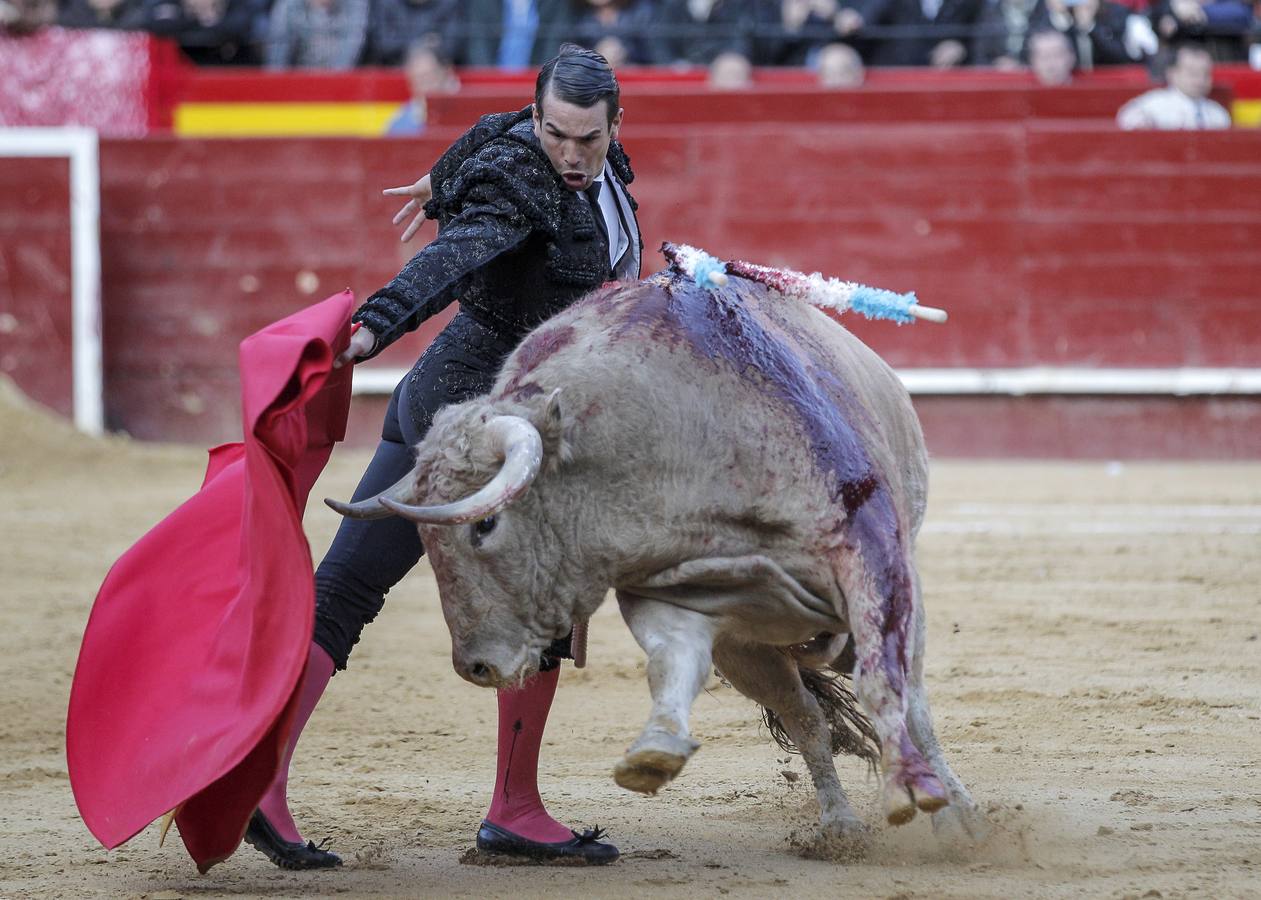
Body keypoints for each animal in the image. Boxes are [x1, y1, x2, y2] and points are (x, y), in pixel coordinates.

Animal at [332, 247, 983, 847]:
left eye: (484, 524)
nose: (475, 666)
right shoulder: (675, 592)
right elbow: (674, 663)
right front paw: (654, 752)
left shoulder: (871, 554)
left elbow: (886, 684)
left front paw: (913, 792)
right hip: (756, 652)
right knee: (805, 715)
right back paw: (841, 826)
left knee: (912, 702)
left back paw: (958, 814)